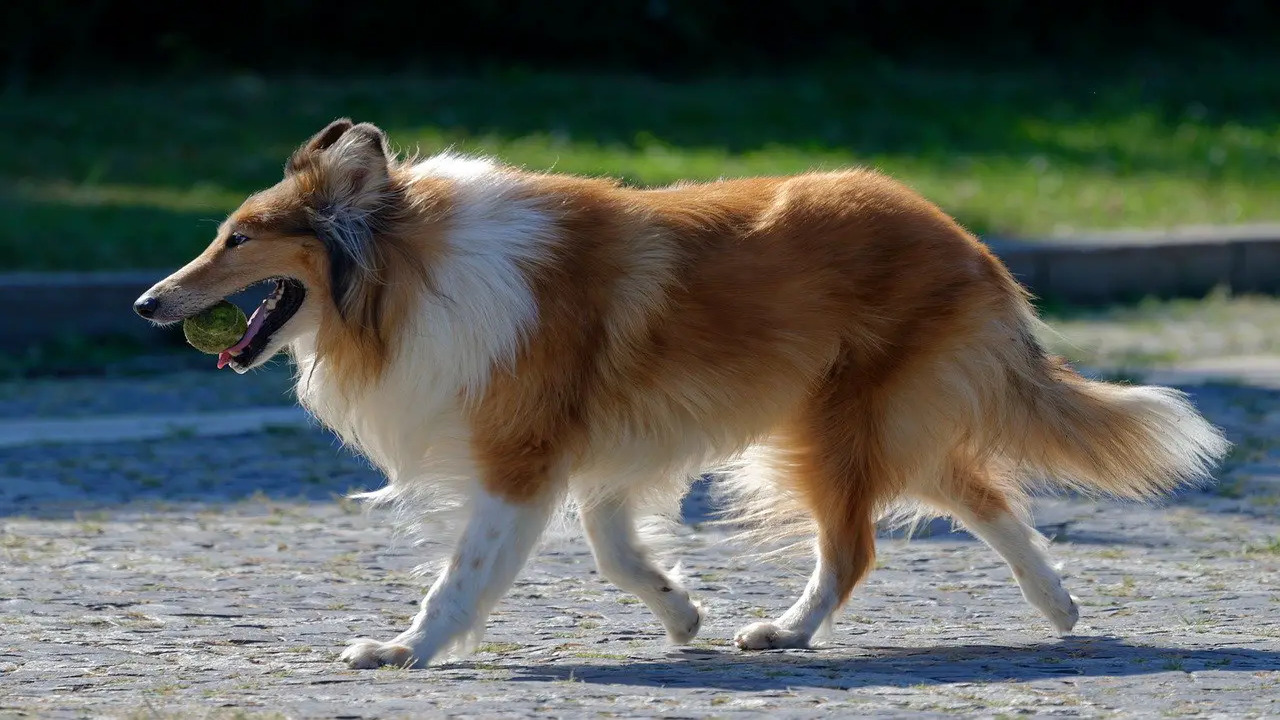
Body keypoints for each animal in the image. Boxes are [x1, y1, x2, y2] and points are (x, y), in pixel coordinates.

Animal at [137, 119, 1228, 666]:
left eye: (237, 237)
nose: (147, 302)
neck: (411, 268)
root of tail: (964, 240)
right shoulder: (607, 456)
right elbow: (616, 551)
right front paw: (679, 613)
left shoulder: (518, 460)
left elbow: (461, 574)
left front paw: (404, 649)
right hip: (857, 419)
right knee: (982, 492)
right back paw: (1059, 605)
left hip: (832, 426)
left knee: (858, 546)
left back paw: (787, 631)